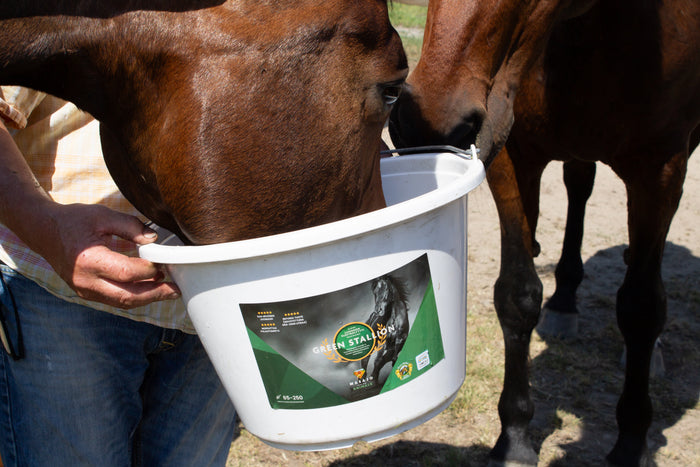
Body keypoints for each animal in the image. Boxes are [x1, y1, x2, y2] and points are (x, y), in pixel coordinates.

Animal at [388, 0, 700, 465]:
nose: (426, 126)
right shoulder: (511, 156)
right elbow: (517, 296)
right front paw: (514, 437)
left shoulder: (661, 169)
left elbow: (642, 307)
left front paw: (631, 441)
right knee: (579, 184)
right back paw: (565, 300)